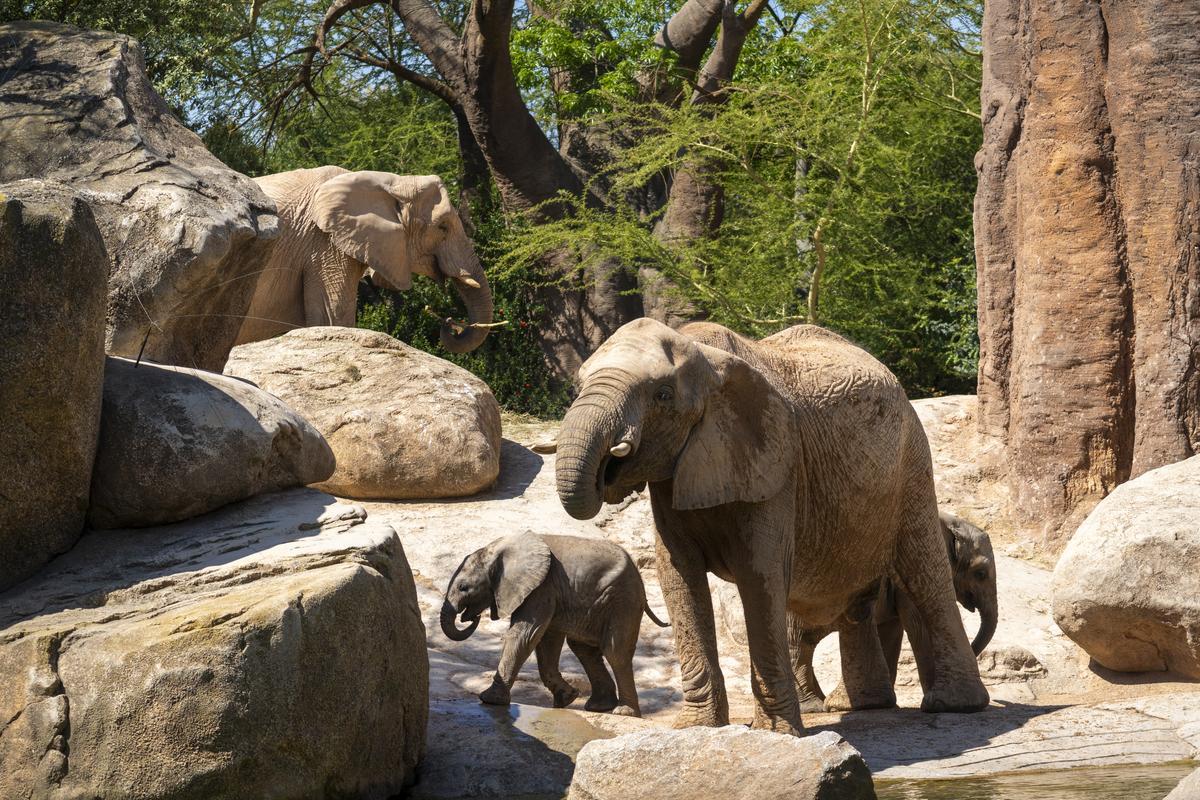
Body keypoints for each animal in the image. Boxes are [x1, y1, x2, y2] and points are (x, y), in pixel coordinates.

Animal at [440, 532, 669, 716]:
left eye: (463, 587)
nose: (472, 617)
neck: (497, 549)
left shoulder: (541, 586)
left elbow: (525, 634)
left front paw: (489, 700)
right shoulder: (549, 590)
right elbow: (545, 640)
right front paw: (566, 698)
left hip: (622, 600)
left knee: (614, 651)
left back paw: (624, 712)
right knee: (583, 649)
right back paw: (598, 707)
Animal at [792, 511, 998, 712]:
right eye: (980, 573)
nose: (974, 650)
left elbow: (891, 631)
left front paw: (891, 706)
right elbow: (917, 626)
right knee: (799, 643)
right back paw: (813, 707)